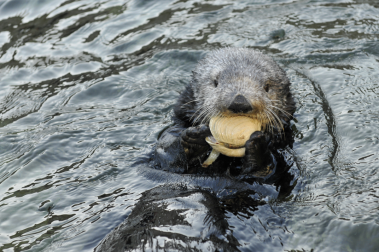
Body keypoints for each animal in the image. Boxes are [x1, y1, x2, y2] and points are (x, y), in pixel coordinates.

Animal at [154, 47, 296, 177]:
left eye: (267, 87)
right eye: (216, 82)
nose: (240, 101)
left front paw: (258, 146)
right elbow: (165, 150)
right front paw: (194, 139)